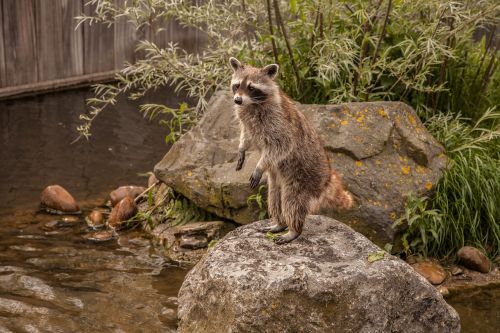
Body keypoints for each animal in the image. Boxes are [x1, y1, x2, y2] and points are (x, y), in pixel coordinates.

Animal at [230, 57, 352, 243]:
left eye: (251, 87)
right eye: (237, 85)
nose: (237, 100)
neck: (252, 104)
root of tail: (326, 180)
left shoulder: (277, 121)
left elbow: (282, 145)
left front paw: (259, 165)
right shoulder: (247, 121)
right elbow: (247, 135)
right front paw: (242, 148)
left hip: (302, 177)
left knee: (292, 201)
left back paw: (294, 230)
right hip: (278, 179)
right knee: (274, 196)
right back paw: (279, 223)